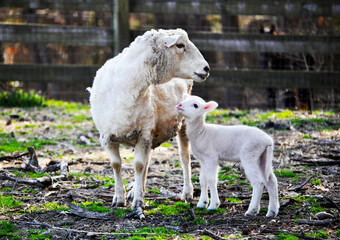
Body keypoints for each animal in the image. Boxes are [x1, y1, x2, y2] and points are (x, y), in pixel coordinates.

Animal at [87, 29, 210, 210]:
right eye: (180, 45)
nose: (206, 68)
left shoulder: (143, 133)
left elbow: (138, 165)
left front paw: (138, 201)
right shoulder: (108, 137)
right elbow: (116, 165)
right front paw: (119, 198)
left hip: (182, 123)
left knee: (184, 157)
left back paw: (187, 193)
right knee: (148, 160)